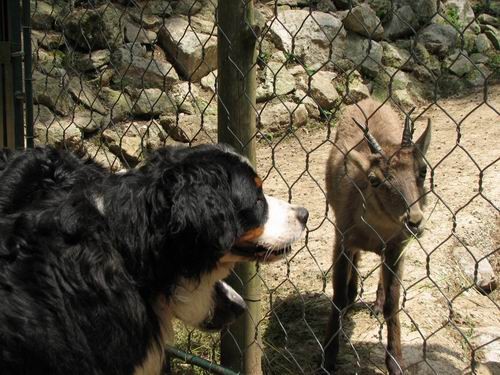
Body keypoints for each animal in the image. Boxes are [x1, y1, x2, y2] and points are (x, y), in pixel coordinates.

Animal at [322, 100, 432, 375]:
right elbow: (337, 296)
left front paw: (396, 361)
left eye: (423, 170)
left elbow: (394, 302)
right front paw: (328, 357)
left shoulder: (396, 247)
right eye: (374, 179)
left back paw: (376, 304)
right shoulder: (342, 239)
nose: (414, 221)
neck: (375, 230)